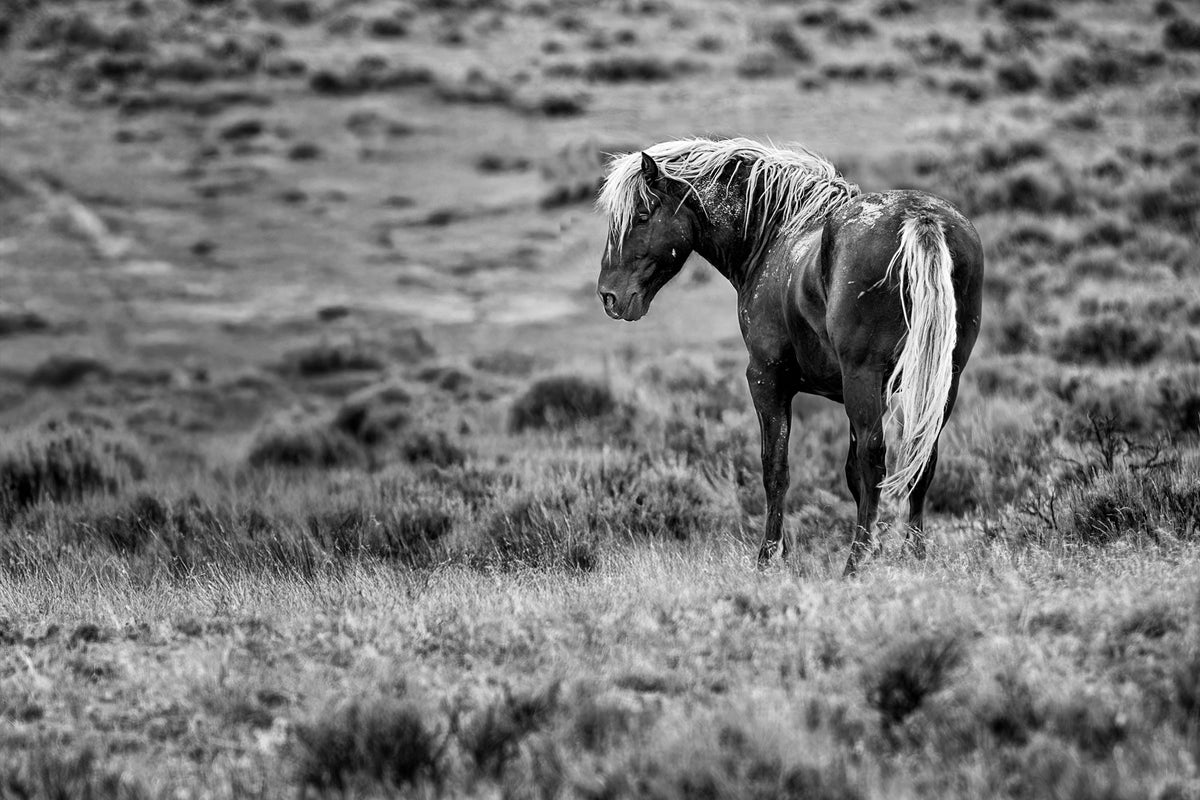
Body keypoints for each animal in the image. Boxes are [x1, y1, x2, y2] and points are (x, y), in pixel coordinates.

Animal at [595, 137, 983, 575]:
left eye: (642, 215)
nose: (609, 295)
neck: (775, 235)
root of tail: (921, 218)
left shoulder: (767, 380)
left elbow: (776, 470)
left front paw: (768, 558)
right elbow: (853, 476)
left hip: (864, 378)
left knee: (876, 460)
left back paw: (855, 562)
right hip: (941, 381)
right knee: (922, 456)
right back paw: (914, 555)